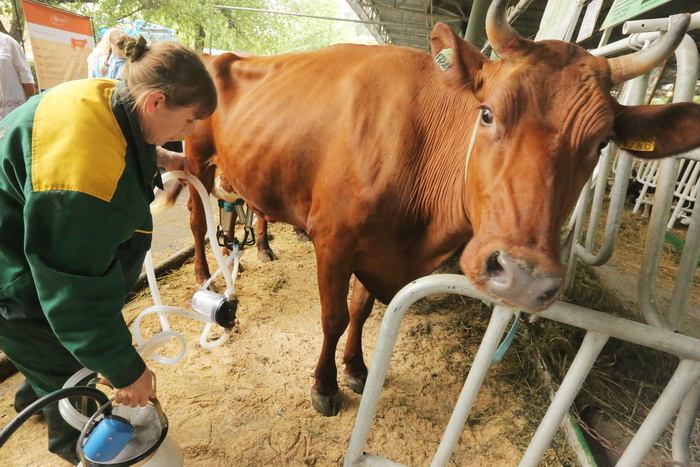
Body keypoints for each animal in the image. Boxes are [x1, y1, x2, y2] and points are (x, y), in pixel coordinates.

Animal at [183, 1, 696, 414]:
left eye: (602, 142)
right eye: (487, 113)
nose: (523, 278)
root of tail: (218, 54)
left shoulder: (379, 250)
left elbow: (360, 310)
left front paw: (357, 369)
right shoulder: (334, 241)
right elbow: (332, 317)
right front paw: (325, 387)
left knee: (253, 206)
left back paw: (261, 249)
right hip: (194, 160)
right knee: (195, 220)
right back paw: (202, 273)